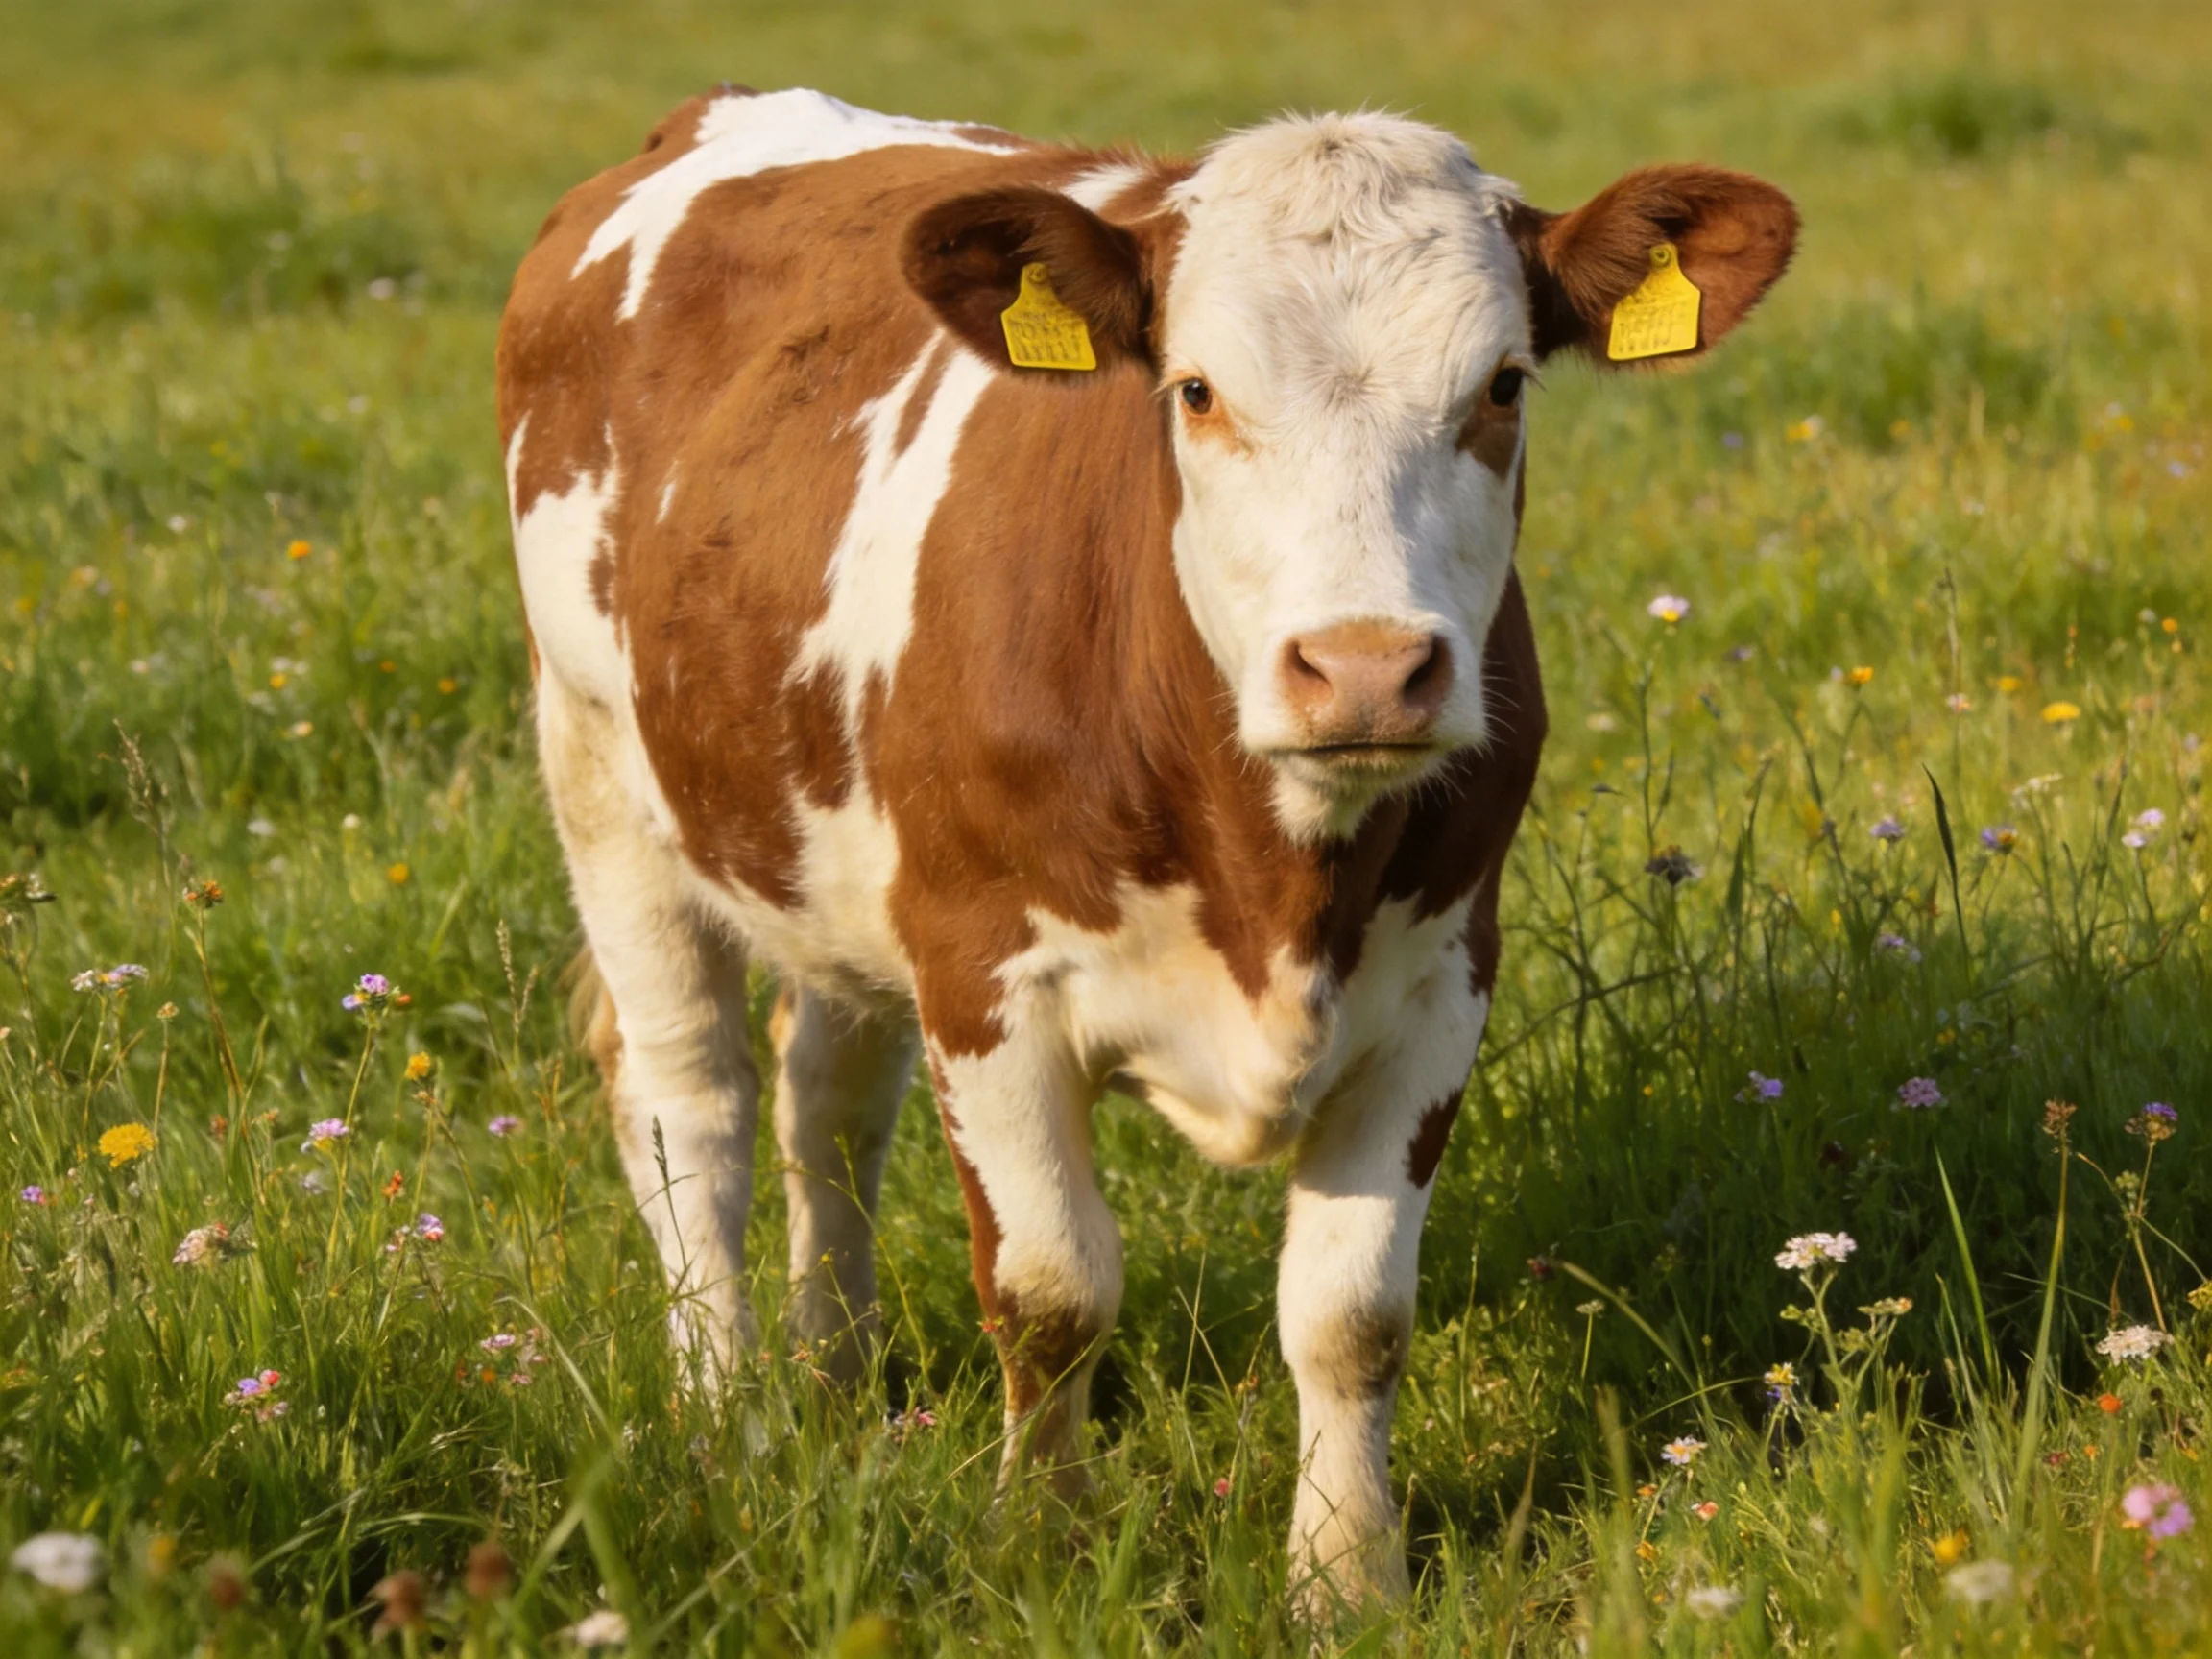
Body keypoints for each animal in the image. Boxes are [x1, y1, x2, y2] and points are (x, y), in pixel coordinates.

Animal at [497, 86, 1796, 1608]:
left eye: (1503, 386)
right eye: (1195, 390)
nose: (1364, 670)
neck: (1275, 880)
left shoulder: (1441, 981)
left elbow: (1352, 1314)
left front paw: (1346, 1576)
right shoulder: (985, 972)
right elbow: (1052, 1291)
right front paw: (1040, 1547)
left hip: (825, 846)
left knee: (828, 1099)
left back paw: (834, 1374)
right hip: (601, 776)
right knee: (690, 1105)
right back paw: (726, 1418)